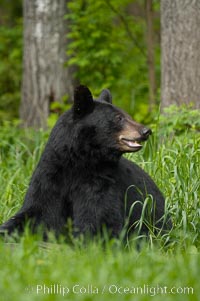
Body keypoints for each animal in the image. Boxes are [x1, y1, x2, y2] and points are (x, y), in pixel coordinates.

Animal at [0, 85, 172, 239]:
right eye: (119, 118)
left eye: (127, 115)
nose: (146, 131)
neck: (78, 162)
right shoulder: (50, 177)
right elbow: (35, 210)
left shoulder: (99, 181)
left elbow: (97, 217)